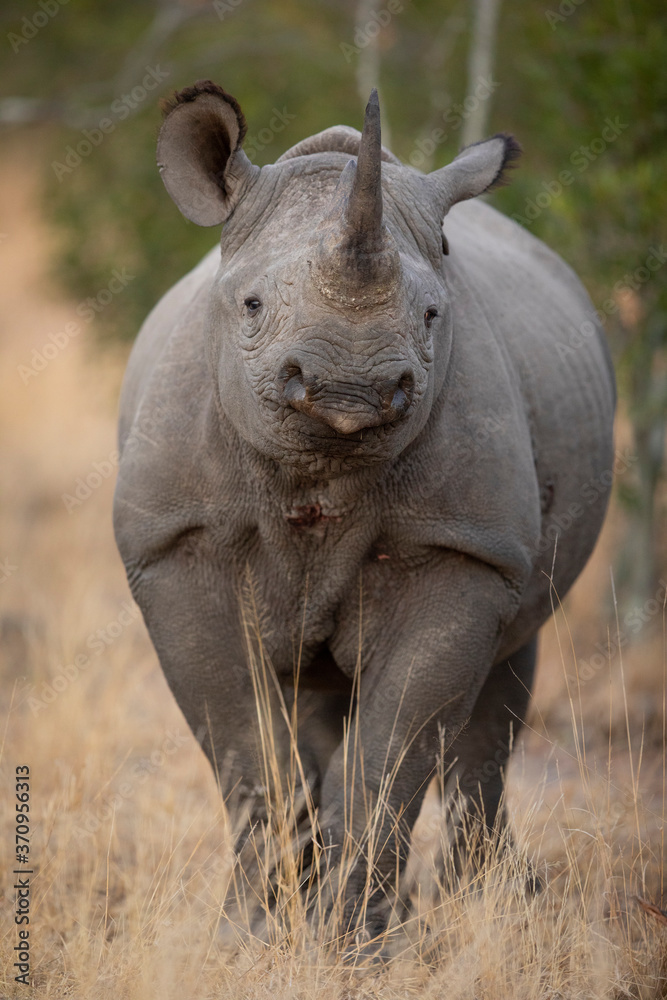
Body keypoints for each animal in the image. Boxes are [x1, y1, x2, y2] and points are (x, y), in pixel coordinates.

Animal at [113, 80, 615, 938]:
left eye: (433, 316)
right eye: (250, 306)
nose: (350, 386)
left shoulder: (463, 550)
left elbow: (388, 764)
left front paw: (355, 945)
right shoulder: (174, 544)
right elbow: (248, 756)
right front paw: (248, 937)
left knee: (496, 696)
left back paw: (482, 906)